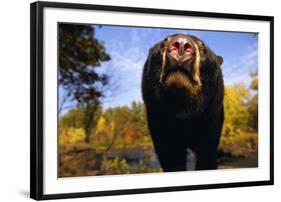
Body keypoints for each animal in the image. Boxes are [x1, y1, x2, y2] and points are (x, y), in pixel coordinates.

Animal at [141, 34, 224, 171]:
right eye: (163, 44)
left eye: (203, 50)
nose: (181, 44)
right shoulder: (158, 119)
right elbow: (170, 156)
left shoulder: (211, 117)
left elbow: (207, 152)